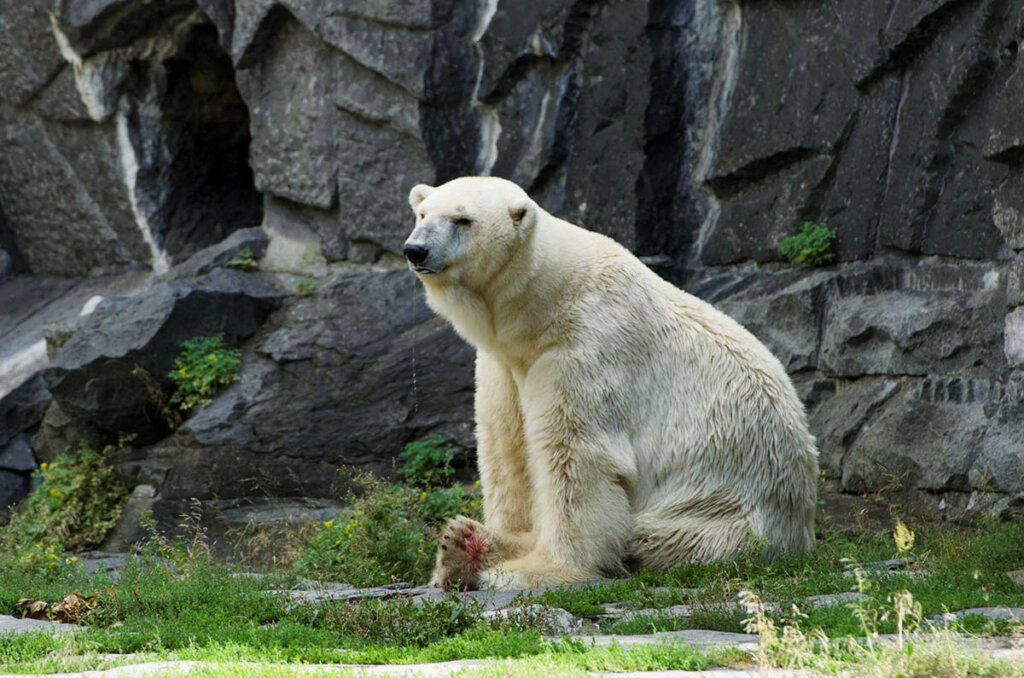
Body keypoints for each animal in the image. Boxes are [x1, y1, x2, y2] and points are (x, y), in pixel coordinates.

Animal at [399, 178, 815, 594]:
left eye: (462, 219)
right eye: (422, 214)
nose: (415, 250)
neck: (548, 306)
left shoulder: (587, 351)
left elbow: (577, 459)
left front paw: (542, 569)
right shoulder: (503, 365)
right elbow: (507, 449)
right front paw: (496, 540)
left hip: (717, 510)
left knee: (650, 540)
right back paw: (465, 544)